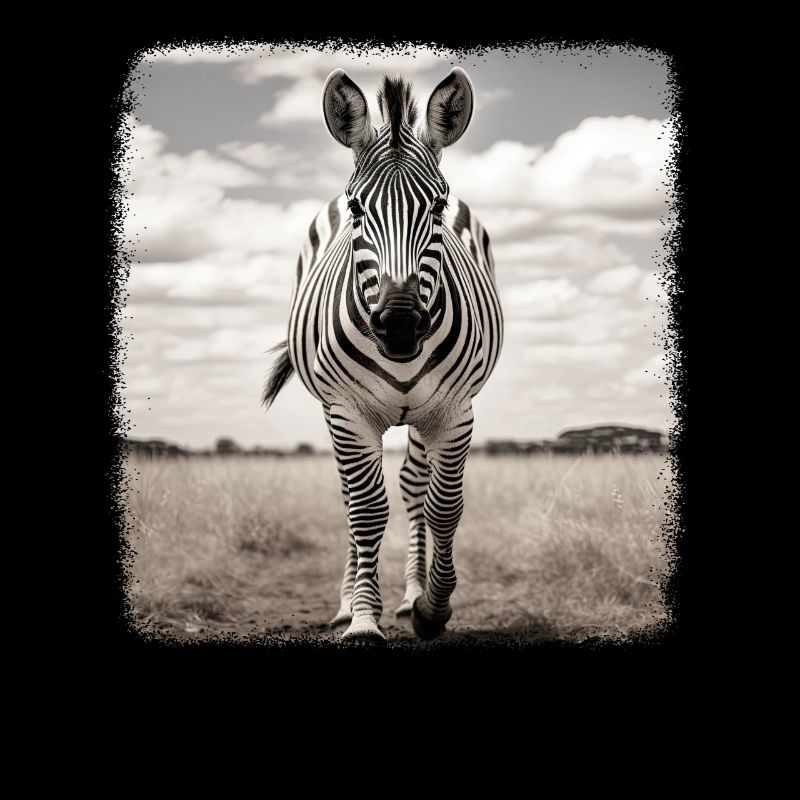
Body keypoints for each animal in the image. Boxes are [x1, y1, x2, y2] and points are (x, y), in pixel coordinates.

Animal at [263, 68, 503, 642]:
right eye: (356, 208)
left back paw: (412, 594)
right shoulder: (347, 412)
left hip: (420, 416)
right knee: (352, 497)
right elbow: (367, 510)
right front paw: (363, 620)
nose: (399, 325)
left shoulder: (454, 411)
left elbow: (444, 507)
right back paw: (347, 601)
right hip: (337, 412)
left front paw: (432, 608)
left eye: (437, 207)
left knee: (415, 488)